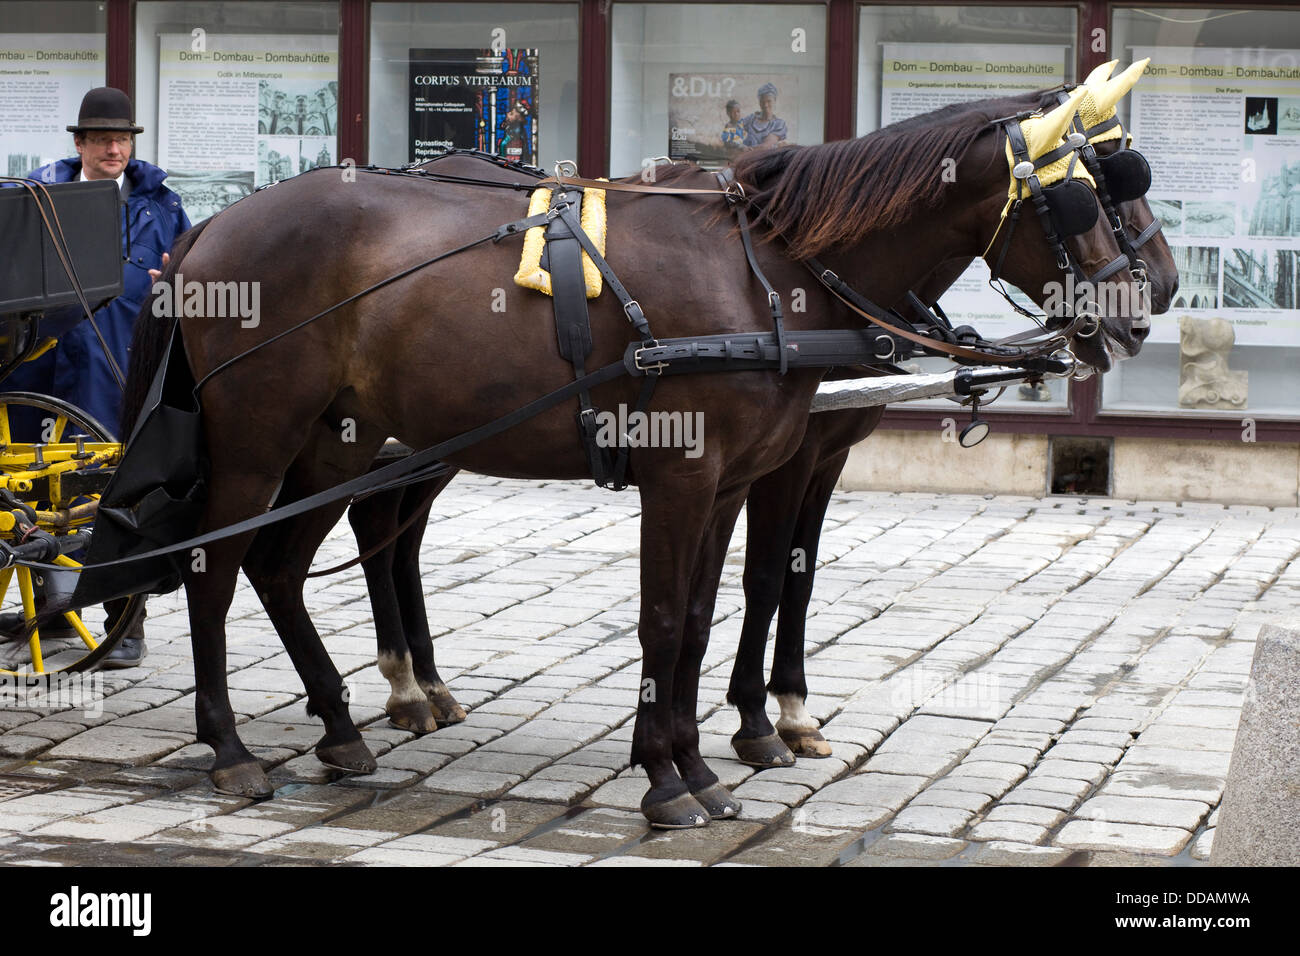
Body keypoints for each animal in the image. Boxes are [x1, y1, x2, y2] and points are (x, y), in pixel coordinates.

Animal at [126, 85, 1144, 827]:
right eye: (1079, 197)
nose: (1138, 312)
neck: (768, 274)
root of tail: (209, 227)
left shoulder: (732, 482)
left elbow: (699, 619)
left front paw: (699, 762)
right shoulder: (684, 477)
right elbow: (668, 620)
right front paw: (667, 777)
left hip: (341, 444)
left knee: (285, 565)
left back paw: (344, 725)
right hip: (259, 440)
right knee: (214, 570)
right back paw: (231, 748)